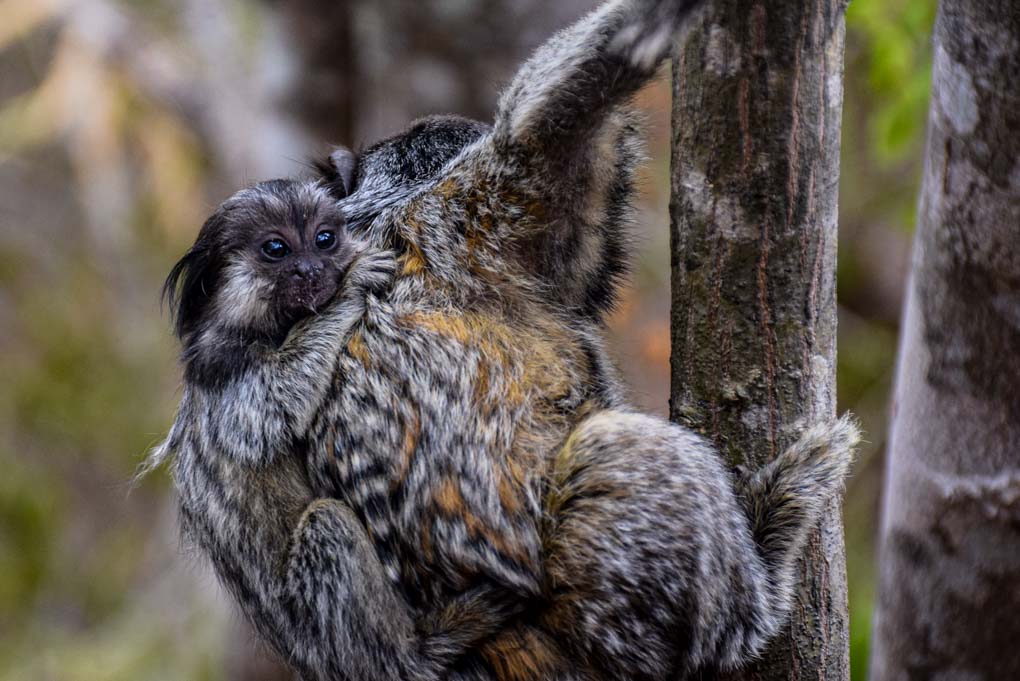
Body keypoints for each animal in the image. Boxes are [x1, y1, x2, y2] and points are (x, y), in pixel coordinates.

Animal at [153, 1, 859, 680]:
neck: (387, 210)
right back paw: (769, 555)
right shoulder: (481, 208)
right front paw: (664, 19)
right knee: (623, 456)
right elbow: (549, 113)